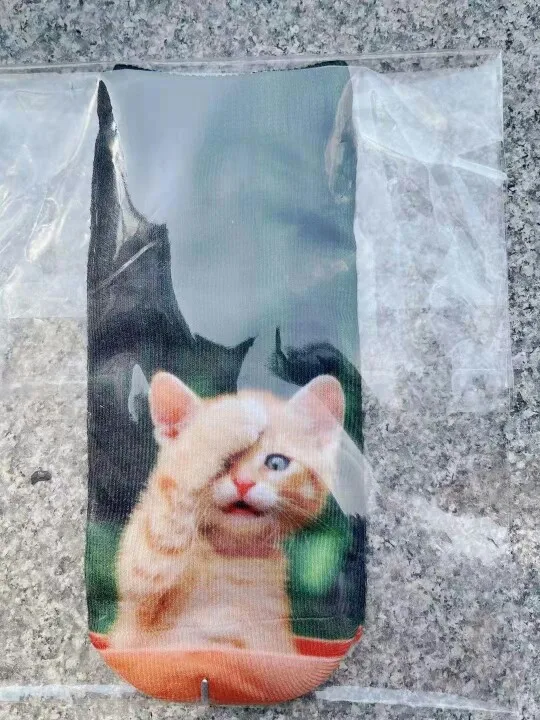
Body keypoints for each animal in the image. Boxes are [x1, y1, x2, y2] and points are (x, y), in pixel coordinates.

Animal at [109, 371, 345, 653]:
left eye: (277, 463)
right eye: (223, 463)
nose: (243, 483)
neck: (232, 556)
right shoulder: (136, 612)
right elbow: (157, 539)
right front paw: (225, 421)